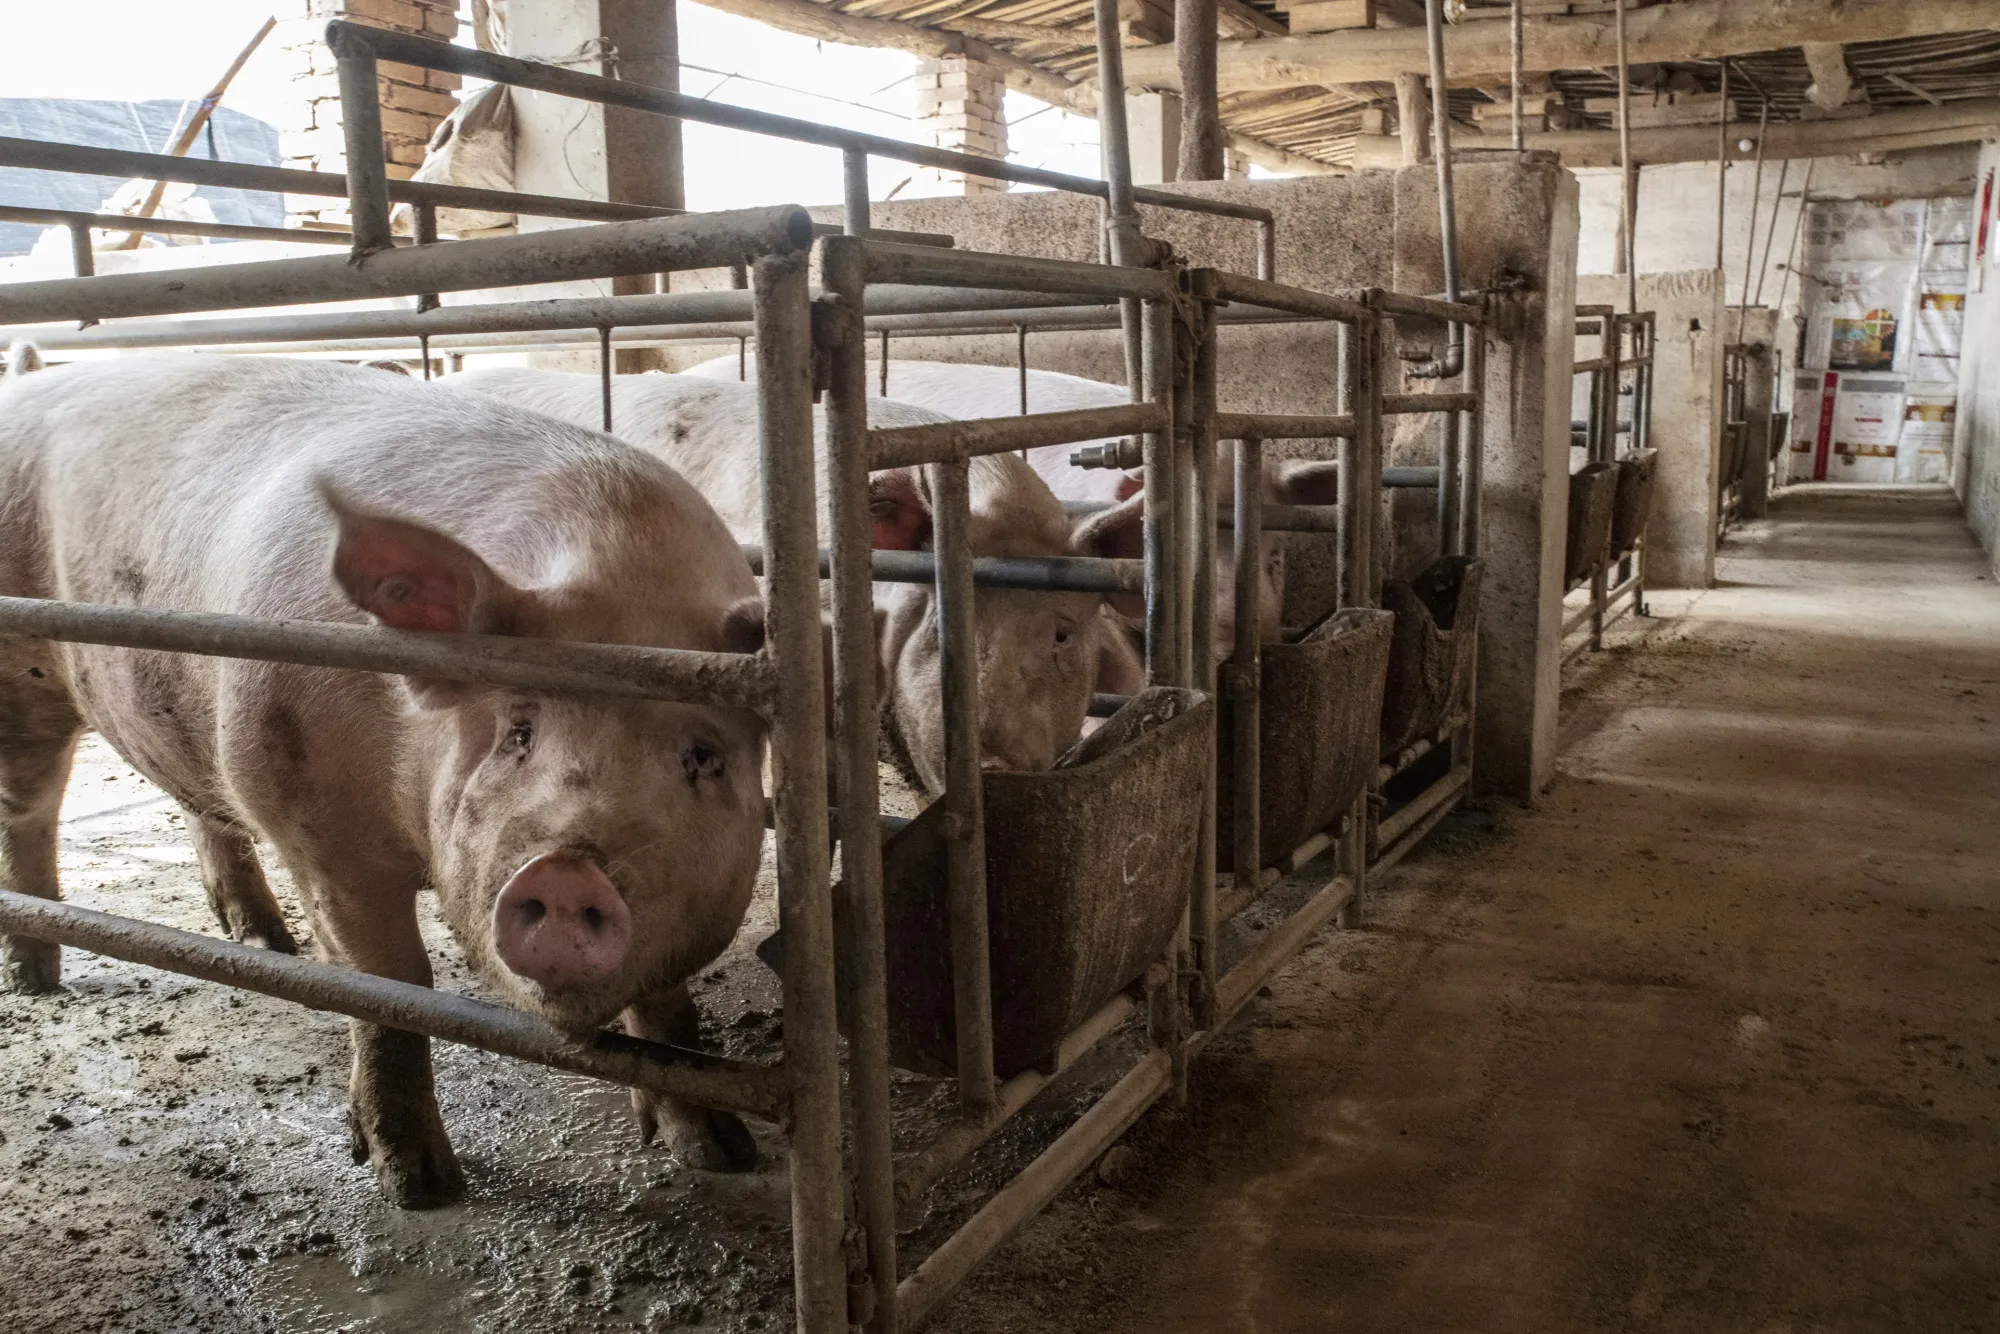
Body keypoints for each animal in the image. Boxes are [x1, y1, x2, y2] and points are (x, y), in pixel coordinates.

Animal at [0, 356, 775, 1206]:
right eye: (519, 732)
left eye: (703, 755)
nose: (569, 874)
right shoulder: (317, 833)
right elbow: (390, 990)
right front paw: (420, 1187)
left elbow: (667, 1010)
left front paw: (723, 1153)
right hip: (22, 679)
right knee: (28, 810)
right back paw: (35, 976)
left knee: (201, 810)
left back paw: (265, 941)